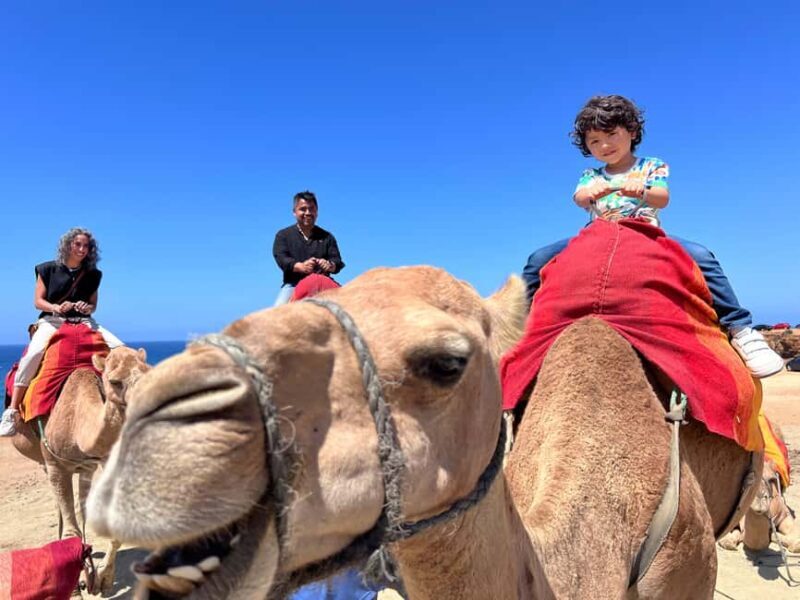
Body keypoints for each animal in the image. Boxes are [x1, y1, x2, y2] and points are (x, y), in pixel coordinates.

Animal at [13, 345, 150, 595]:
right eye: (115, 381)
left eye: (148, 371)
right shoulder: (55, 463)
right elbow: (72, 531)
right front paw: (74, 586)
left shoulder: (101, 460)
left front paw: (103, 578)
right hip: (45, 459)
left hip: (84, 469)